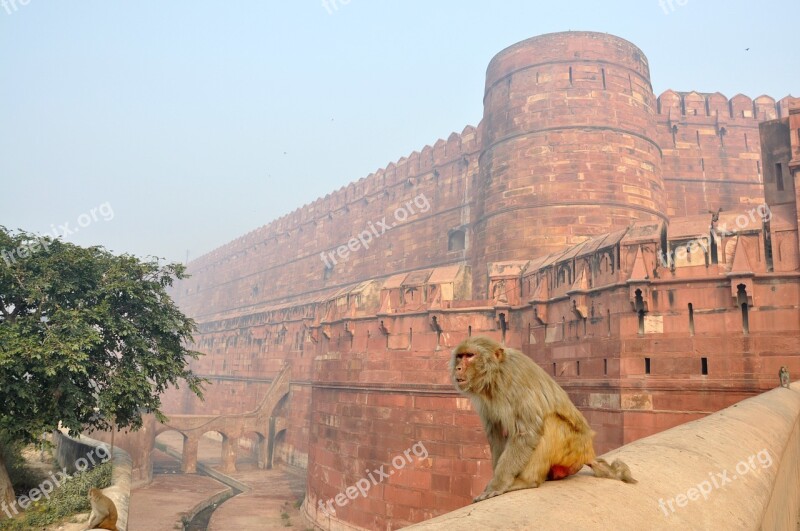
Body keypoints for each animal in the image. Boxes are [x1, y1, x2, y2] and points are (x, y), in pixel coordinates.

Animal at [454, 336, 636, 502]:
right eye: (460, 356)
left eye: (470, 355)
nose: (458, 367)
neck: (495, 374)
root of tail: (588, 453)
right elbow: (497, 432)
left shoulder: (513, 382)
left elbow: (526, 433)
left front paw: (498, 484)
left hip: (574, 449)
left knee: (550, 423)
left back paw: (527, 481)